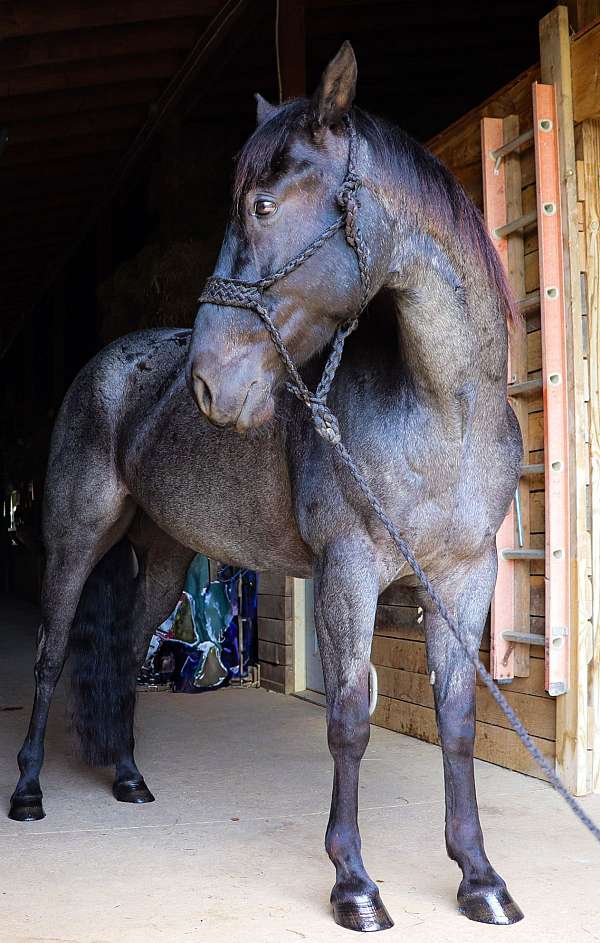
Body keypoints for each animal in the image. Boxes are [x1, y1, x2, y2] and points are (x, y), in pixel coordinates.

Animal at [10, 42, 524, 932]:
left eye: (263, 202)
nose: (208, 384)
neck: (443, 410)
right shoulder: (349, 571)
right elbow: (348, 721)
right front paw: (355, 884)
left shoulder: (466, 577)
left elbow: (458, 721)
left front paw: (480, 877)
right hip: (75, 540)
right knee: (50, 654)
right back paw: (30, 790)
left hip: (164, 554)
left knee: (127, 651)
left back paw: (130, 778)